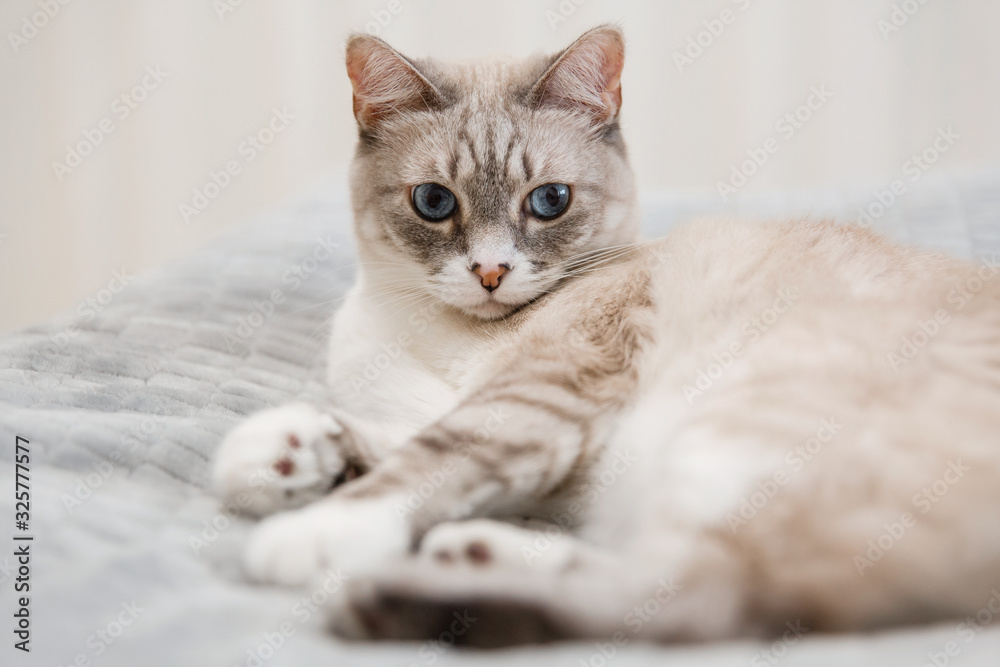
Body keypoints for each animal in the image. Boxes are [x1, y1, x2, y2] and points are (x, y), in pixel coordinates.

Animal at [211, 27, 1000, 648]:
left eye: (550, 201)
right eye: (434, 202)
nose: (491, 271)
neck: (443, 336)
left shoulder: (540, 395)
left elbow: (428, 458)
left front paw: (312, 525)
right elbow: (390, 442)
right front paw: (282, 456)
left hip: (741, 413)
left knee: (712, 598)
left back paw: (408, 594)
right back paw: (468, 552)